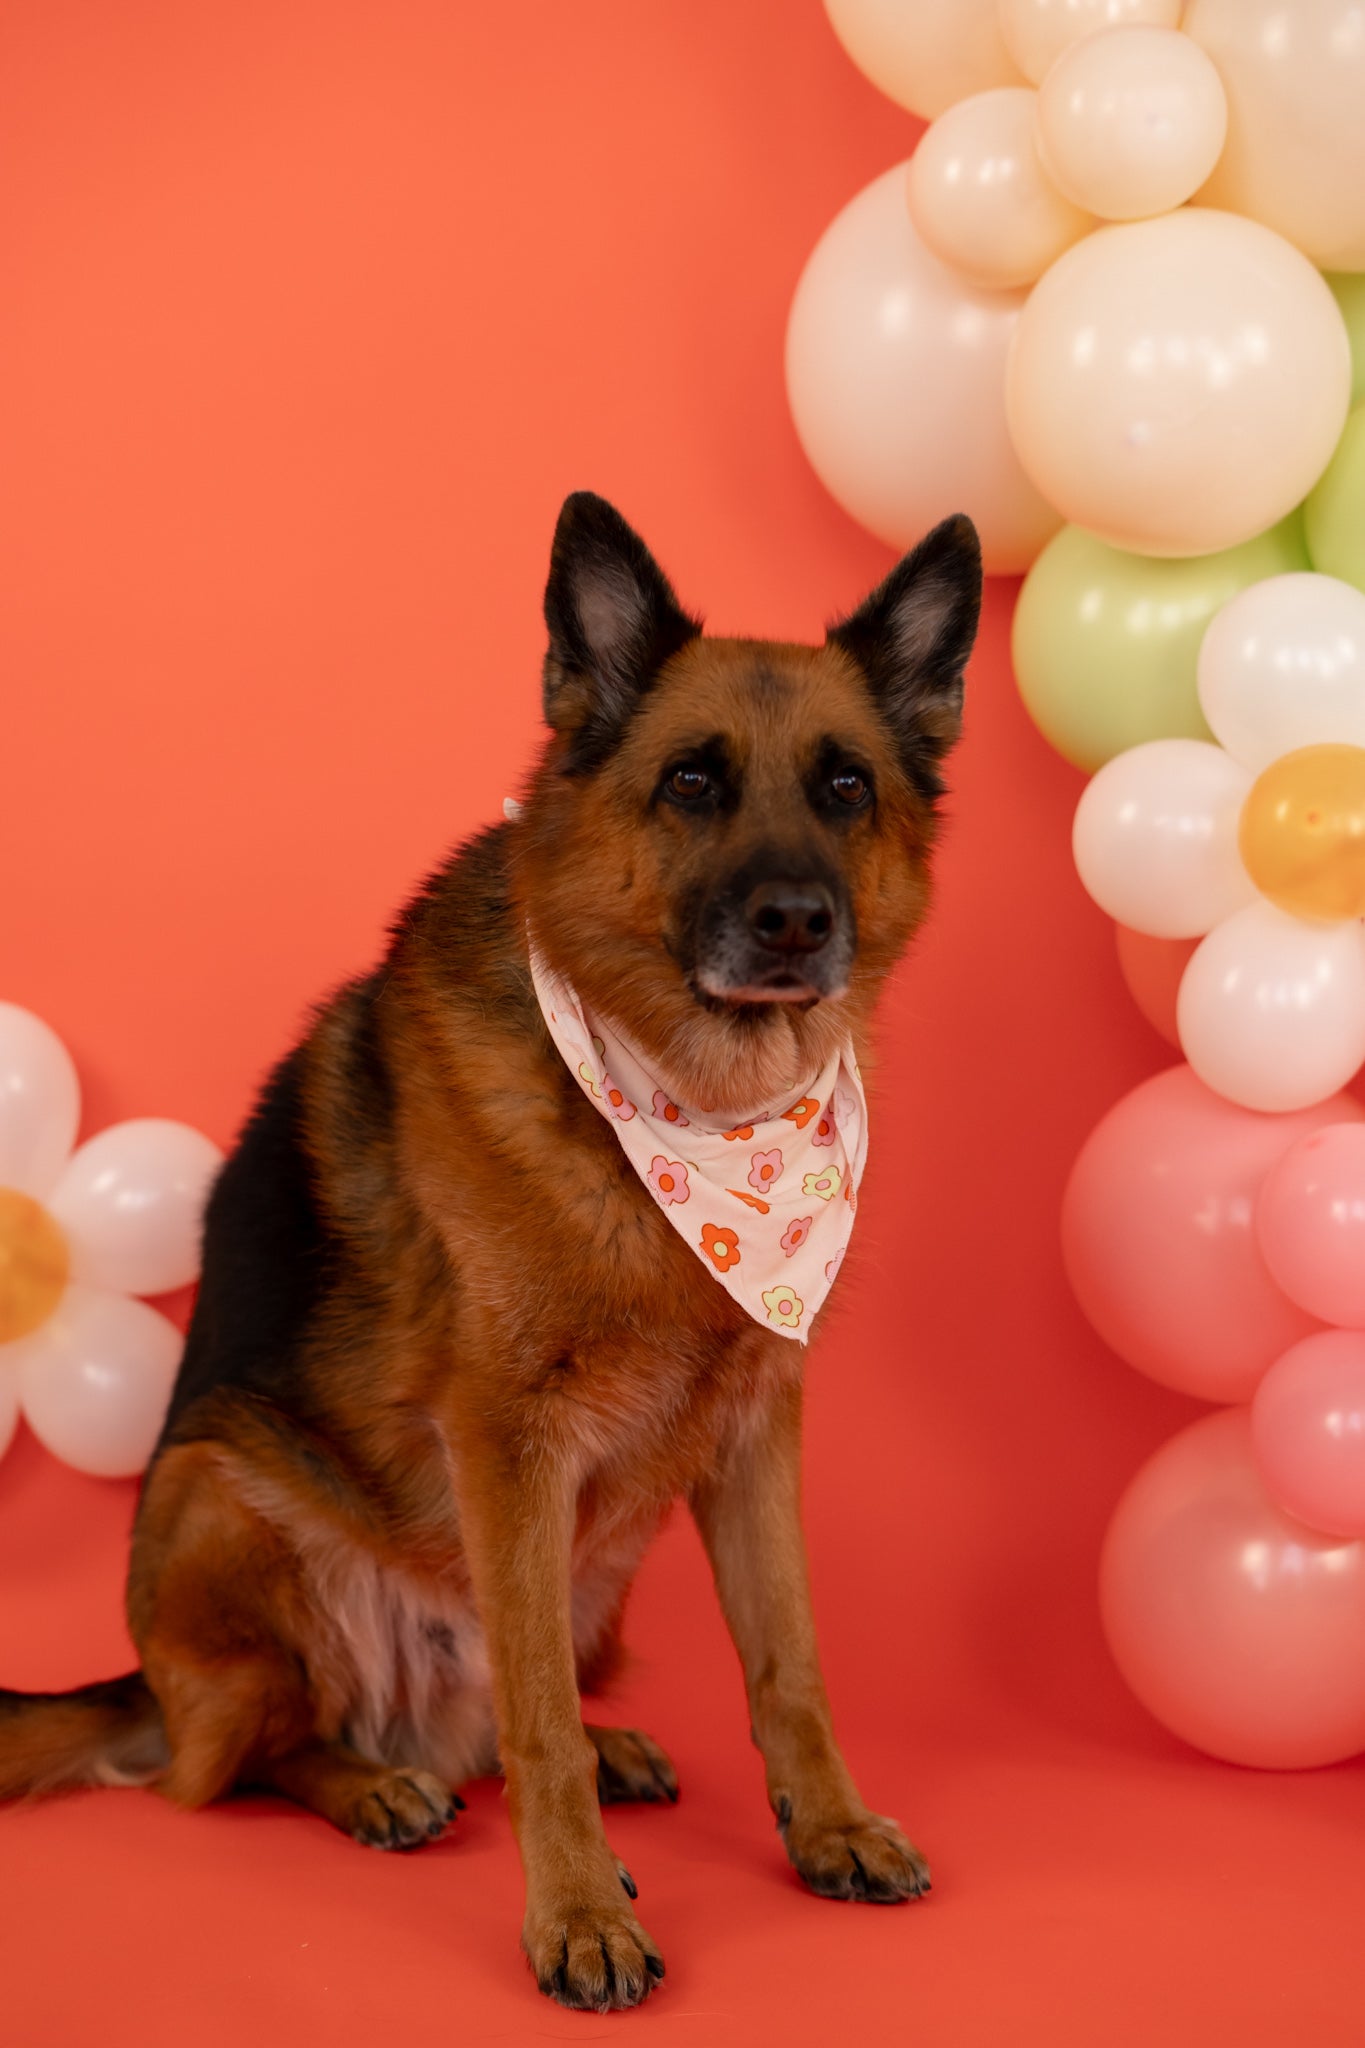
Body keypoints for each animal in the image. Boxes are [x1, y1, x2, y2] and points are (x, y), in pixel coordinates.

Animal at [0, 495, 982, 2015]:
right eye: (691, 782)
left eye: (844, 787)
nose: (796, 922)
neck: (694, 1118)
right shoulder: (508, 1443)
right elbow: (538, 1720)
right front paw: (576, 1913)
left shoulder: (759, 1425)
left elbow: (790, 1660)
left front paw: (827, 1825)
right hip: (219, 1494)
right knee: (249, 1758)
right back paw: (372, 1784)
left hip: (602, 1565)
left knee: (500, 1714)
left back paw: (587, 1754)